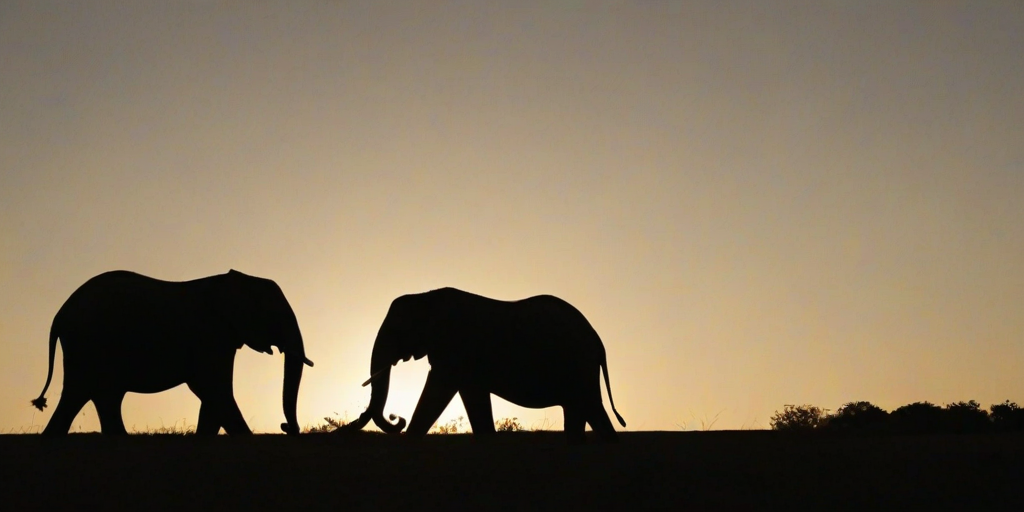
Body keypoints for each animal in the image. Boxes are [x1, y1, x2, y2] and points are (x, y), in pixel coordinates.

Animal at [30, 269, 314, 436]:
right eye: (275, 315)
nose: (286, 427)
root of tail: (59, 315)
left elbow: (212, 395)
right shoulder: (210, 336)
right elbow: (214, 389)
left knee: (95, 395)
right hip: (88, 345)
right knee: (84, 393)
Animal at [338, 287, 626, 444]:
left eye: (397, 331)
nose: (396, 417)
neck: (426, 297)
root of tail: (598, 341)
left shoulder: (454, 350)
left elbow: (438, 391)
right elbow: (473, 398)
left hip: (577, 366)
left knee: (587, 408)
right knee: (587, 411)